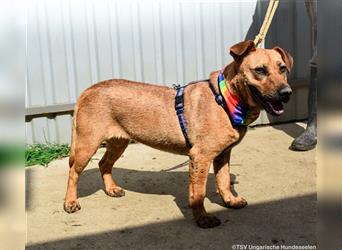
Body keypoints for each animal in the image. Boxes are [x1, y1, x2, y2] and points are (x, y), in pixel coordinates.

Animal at [65, 39, 294, 229]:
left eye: (282, 68)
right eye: (260, 70)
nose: (287, 93)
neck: (226, 98)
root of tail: (87, 90)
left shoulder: (222, 154)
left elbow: (223, 181)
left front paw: (230, 201)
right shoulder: (200, 157)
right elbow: (198, 193)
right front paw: (202, 219)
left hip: (118, 142)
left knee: (104, 164)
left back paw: (111, 189)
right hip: (87, 145)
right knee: (73, 172)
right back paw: (70, 202)